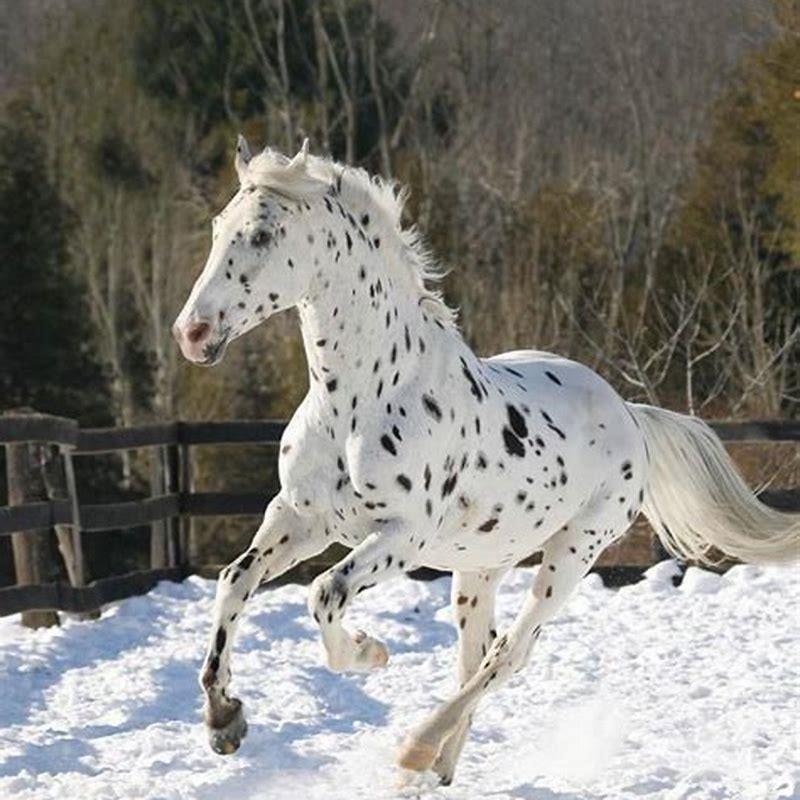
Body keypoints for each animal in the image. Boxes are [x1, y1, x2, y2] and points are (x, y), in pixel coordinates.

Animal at [172, 138, 799, 786]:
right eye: (218, 228)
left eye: (263, 234)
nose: (191, 333)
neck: (360, 400)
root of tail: (629, 412)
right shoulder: (300, 518)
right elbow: (235, 580)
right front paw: (224, 722)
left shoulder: (403, 536)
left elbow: (325, 593)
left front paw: (370, 653)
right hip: (480, 567)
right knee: (477, 653)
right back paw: (433, 769)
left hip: (573, 553)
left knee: (510, 652)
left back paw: (416, 748)